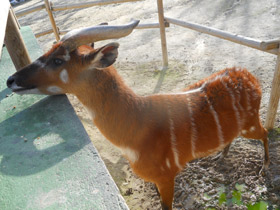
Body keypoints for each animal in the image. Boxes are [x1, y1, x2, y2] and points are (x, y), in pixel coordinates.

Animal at [6, 20, 270, 210]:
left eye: (57, 60)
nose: (10, 80)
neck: (137, 125)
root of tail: (250, 76)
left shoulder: (166, 176)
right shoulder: (154, 180)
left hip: (250, 124)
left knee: (265, 132)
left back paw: (264, 167)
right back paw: (220, 157)